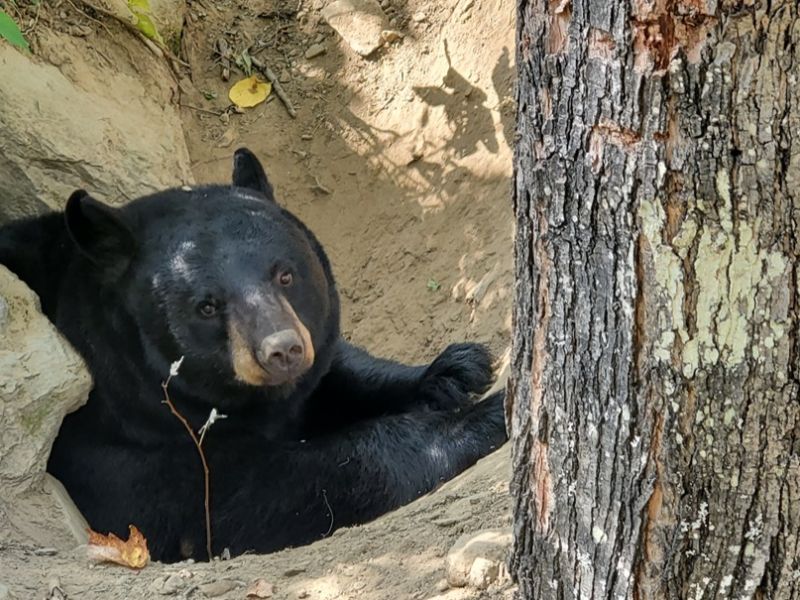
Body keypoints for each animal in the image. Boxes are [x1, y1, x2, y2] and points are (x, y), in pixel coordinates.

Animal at [0, 148, 507, 563]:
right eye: (207, 305)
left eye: (285, 274)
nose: (283, 349)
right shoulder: (113, 438)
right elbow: (251, 494)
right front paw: (486, 416)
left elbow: (337, 376)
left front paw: (455, 369)